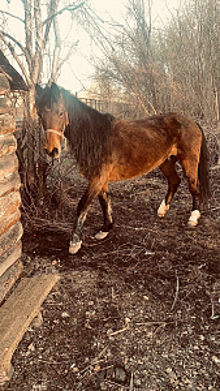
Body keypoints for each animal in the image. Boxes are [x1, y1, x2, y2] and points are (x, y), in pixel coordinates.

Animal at [35, 82, 211, 254]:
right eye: (40, 115)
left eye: (60, 113)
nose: (51, 150)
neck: (97, 136)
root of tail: (192, 122)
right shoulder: (99, 179)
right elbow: (105, 201)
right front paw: (105, 229)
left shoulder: (98, 178)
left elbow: (83, 205)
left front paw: (75, 243)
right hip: (166, 162)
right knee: (174, 181)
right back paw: (162, 210)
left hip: (189, 162)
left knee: (193, 186)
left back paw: (193, 218)